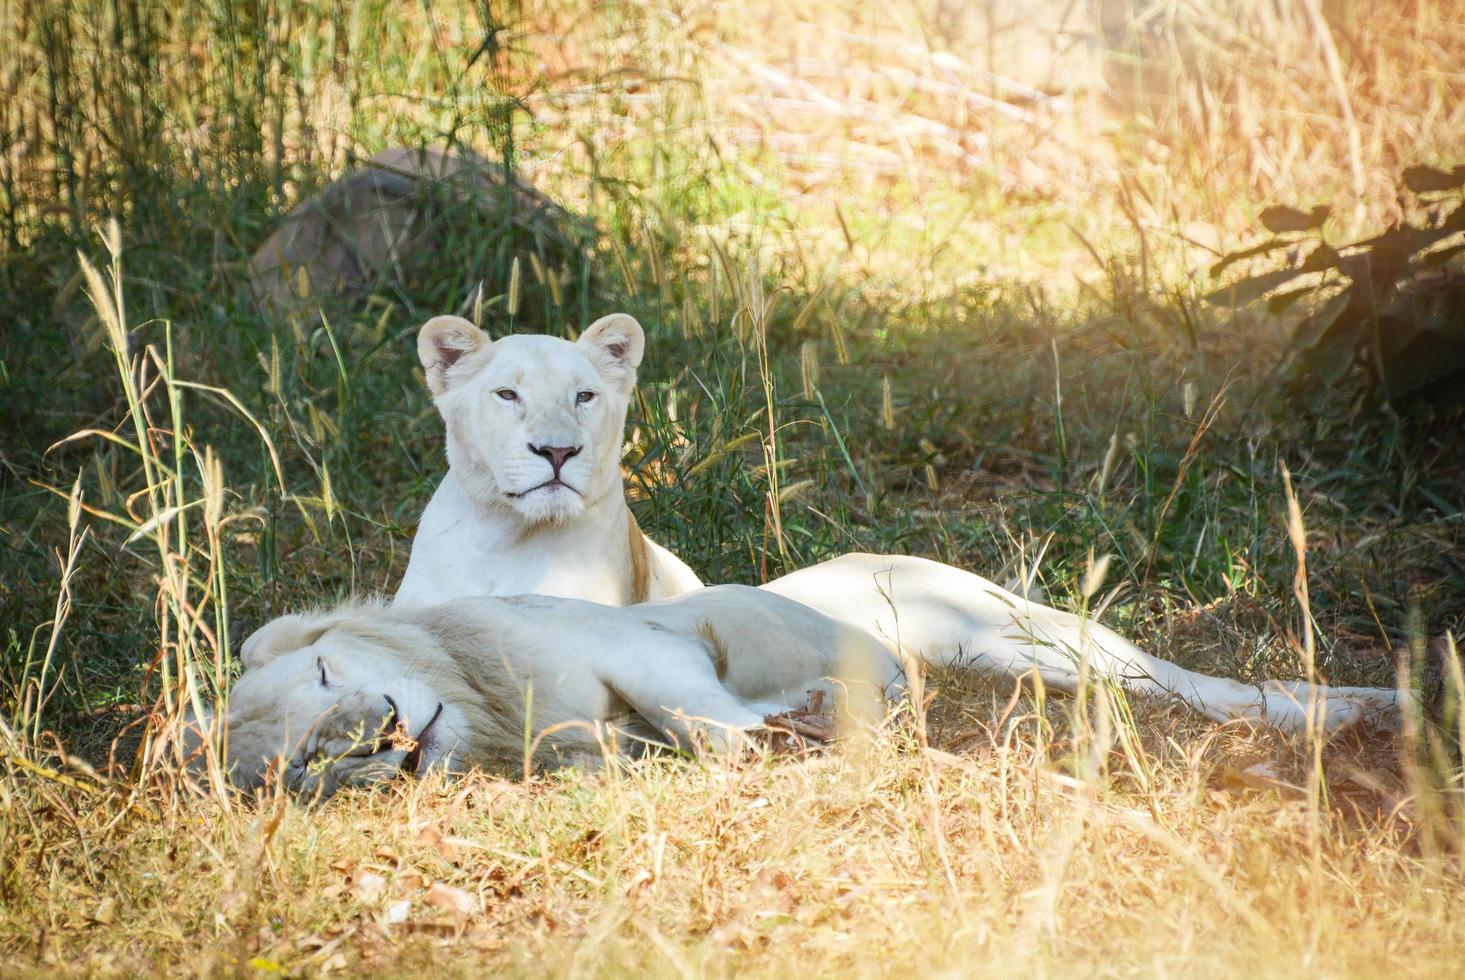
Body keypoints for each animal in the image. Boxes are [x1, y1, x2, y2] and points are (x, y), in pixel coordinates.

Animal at [392, 309, 1406, 729]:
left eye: (586, 396)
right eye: (507, 394)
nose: (556, 453)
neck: (513, 540)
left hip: (1046, 639)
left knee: (1206, 687)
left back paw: (1367, 710)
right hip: (1013, 661)